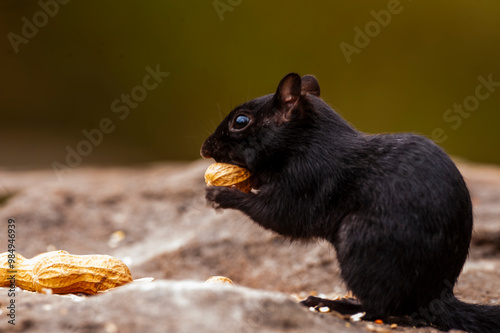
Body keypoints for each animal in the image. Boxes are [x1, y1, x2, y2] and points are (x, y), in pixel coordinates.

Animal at [200, 72, 500, 332]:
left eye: (241, 121)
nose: (205, 148)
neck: (306, 142)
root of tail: (435, 297)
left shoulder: (307, 181)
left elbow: (280, 216)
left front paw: (220, 194)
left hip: (361, 242)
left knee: (381, 309)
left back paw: (334, 304)